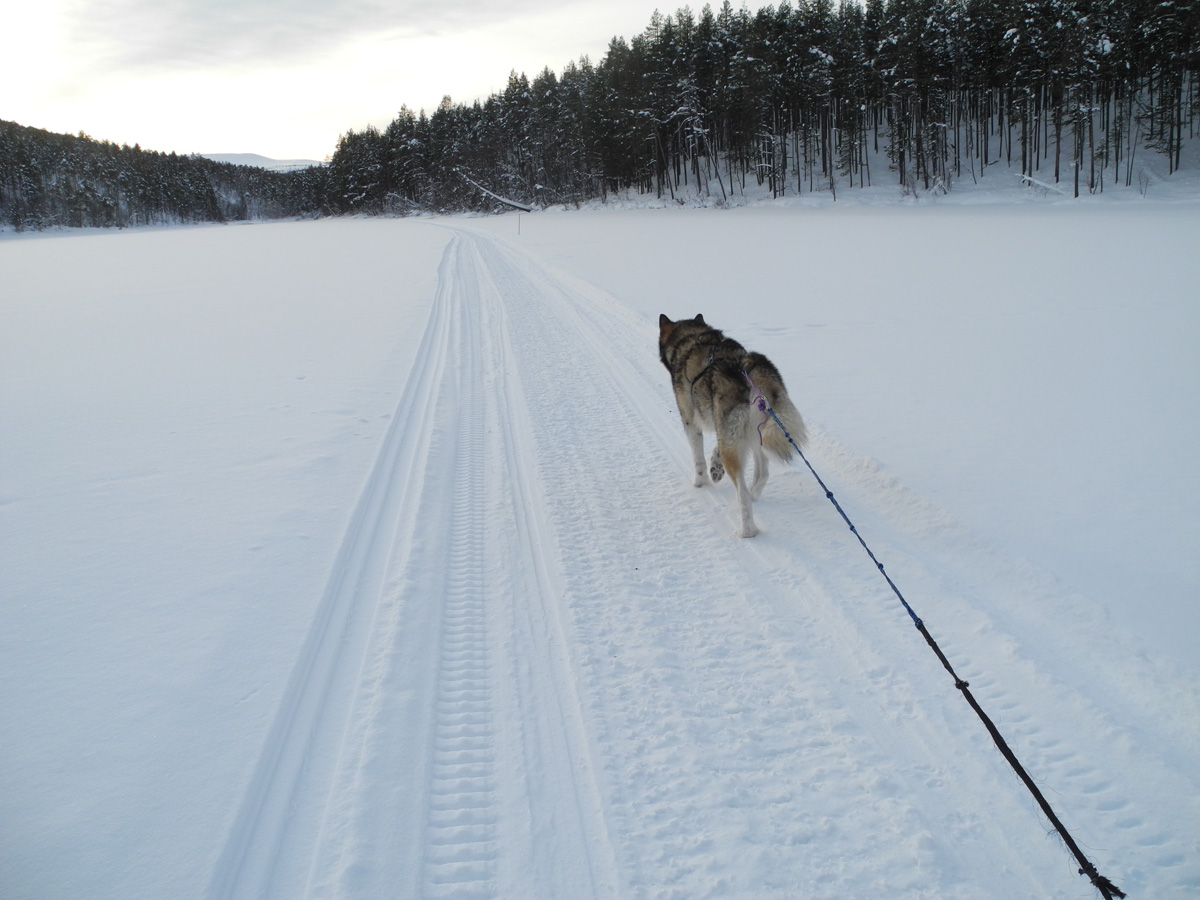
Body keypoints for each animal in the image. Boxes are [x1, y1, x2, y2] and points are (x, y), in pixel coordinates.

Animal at [657, 314, 806, 540]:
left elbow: (698, 459)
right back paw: (753, 494)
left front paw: (700, 481)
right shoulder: (725, 430)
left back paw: (747, 529)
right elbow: (715, 451)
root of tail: (747, 368)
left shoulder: (691, 422)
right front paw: (715, 467)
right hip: (755, 435)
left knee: (742, 491)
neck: (693, 338)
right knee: (762, 473)